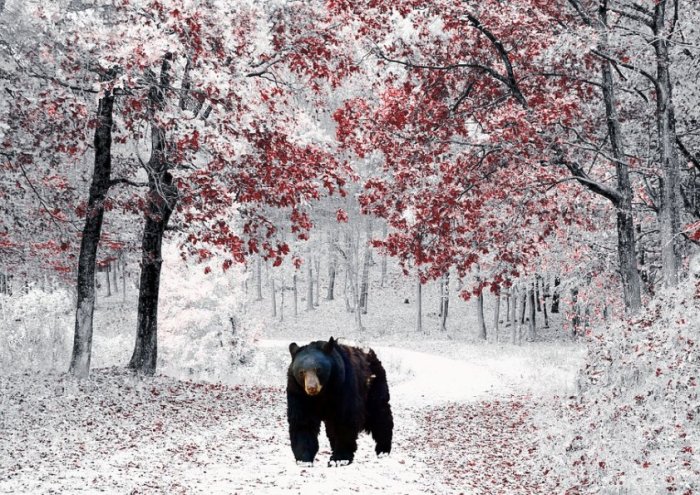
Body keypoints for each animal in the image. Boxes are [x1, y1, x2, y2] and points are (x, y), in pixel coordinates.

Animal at [286, 337, 393, 466]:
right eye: (301, 372)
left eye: (318, 369)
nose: (311, 388)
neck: (323, 393)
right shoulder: (299, 393)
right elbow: (302, 421)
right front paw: (304, 459)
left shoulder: (343, 385)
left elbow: (345, 419)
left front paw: (339, 459)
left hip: (374, 384)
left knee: (379, 413)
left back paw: (383, 449)